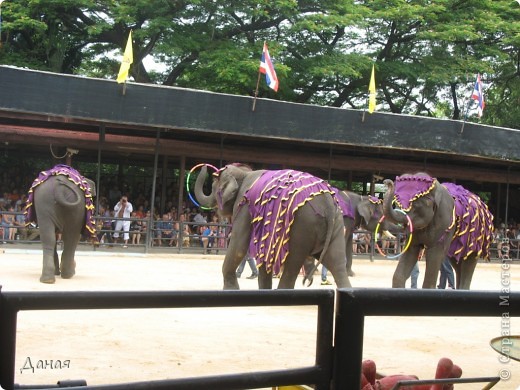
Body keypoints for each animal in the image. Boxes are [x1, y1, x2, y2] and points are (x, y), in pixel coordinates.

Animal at [193, 162, 352, 290]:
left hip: (302, 227)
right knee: (337, 263)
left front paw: (231, 290)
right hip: (336, 223)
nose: (205, 167)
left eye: (213, 186)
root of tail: (328, 203)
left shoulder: (244, 207)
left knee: (292, 264)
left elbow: (238, 246)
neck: (245, 173)